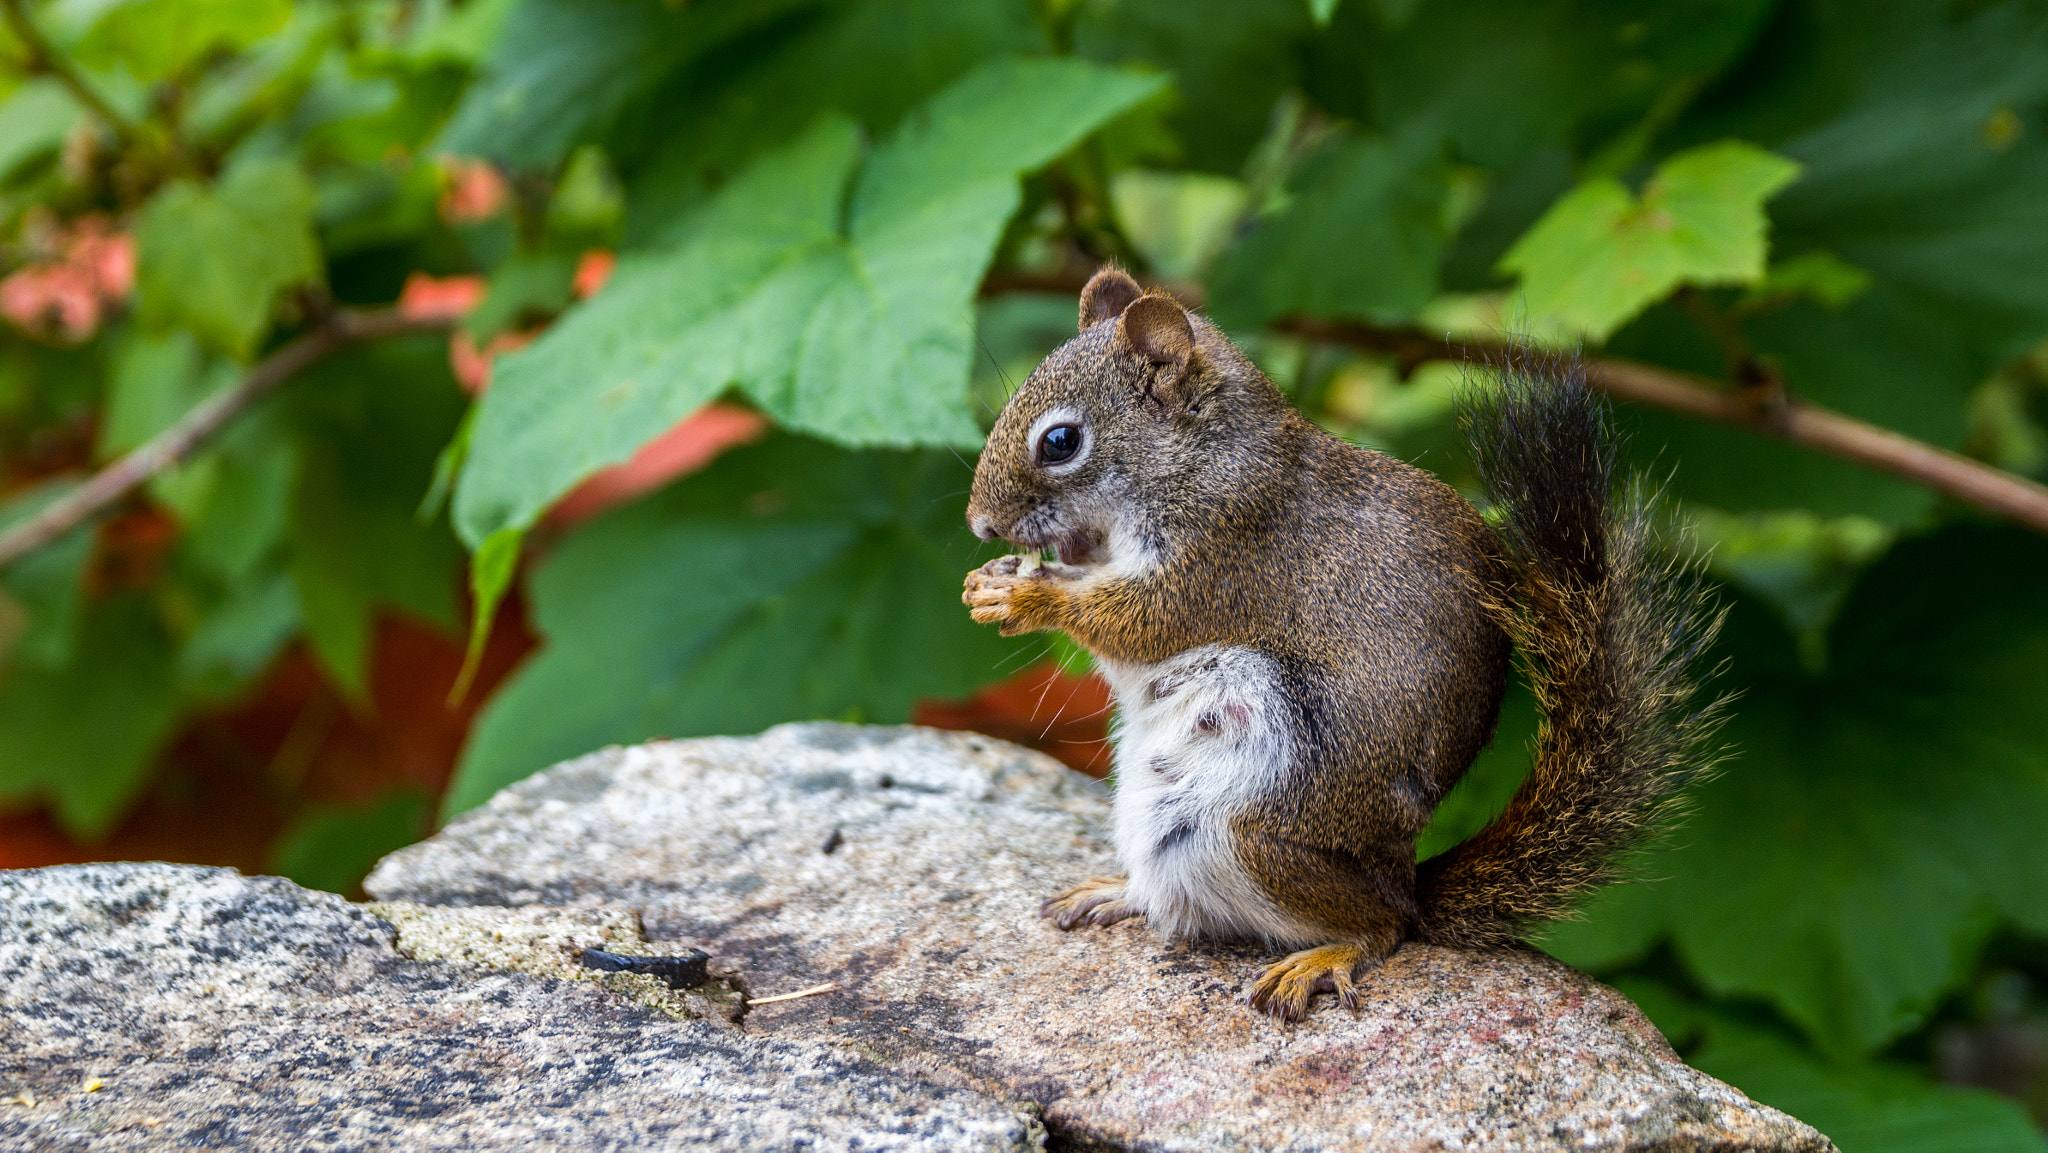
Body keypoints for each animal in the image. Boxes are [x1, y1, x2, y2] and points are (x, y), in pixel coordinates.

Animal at [962, 268, 1728, 1019]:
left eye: (1061, 441)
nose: (978, 525)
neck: (1198, 458)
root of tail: (1402, 878)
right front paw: (993, 579)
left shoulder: (1227, 552)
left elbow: (1139, 623)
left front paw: (1028, 597)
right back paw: (1115, 892)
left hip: (1258, 824)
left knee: (1379, 928)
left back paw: (1324, 956)